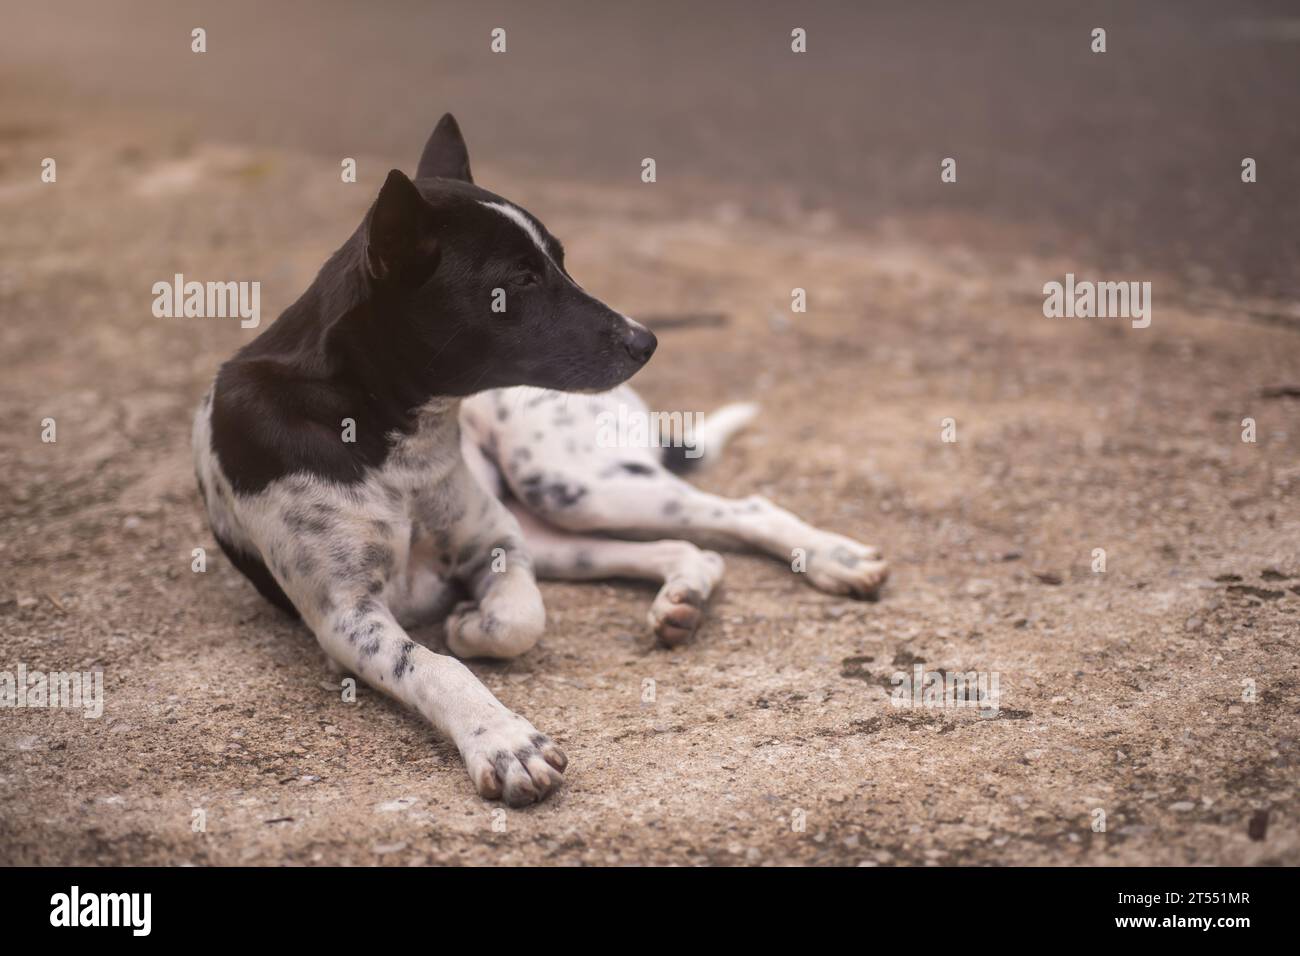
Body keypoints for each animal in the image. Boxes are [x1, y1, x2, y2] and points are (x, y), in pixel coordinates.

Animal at [192, 113, 889, 806]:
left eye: (558, 260)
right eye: (520, 279)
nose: (647, 340)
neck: (390, 431)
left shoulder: (497, 541)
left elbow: (519, 619)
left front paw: (472, 628)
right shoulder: (345, 615)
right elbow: (435, 664)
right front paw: (505, 742)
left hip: (568, 484)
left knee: (741, 510)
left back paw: (833, 557)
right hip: (559, 517)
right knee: (690, 547)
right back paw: (684, 595)